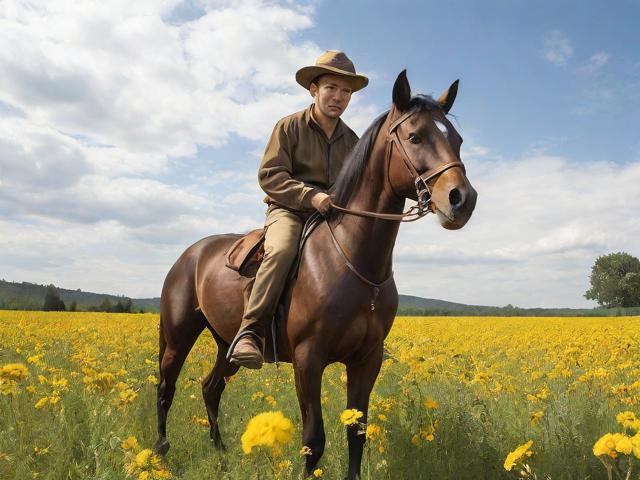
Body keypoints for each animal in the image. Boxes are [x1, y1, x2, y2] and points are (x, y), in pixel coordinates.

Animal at [154, 70, 477, 479]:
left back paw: (222, 452)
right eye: (416, 136)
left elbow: (357, 434)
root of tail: (189, 255)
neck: (352, 261)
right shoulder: (309, 360)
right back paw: (160, 453)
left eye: (458, 139)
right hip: (178, 336)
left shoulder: (366, 360)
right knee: (166, 389)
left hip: (225, 341)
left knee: (211, 388)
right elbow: (314, 440)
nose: (462, 200)